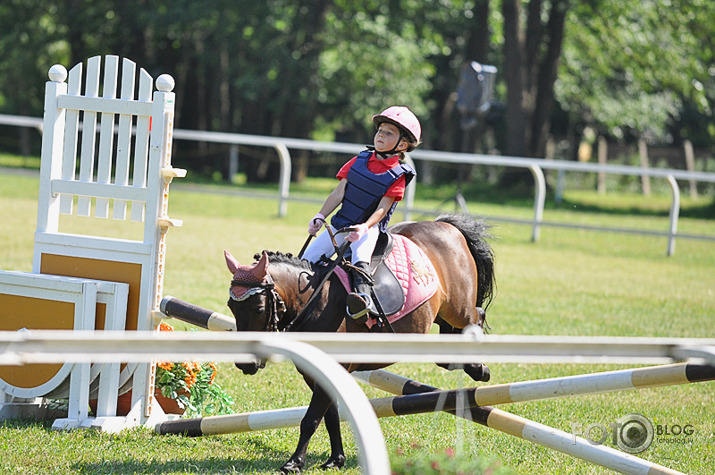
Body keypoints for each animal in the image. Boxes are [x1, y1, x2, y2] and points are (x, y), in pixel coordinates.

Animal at [227, 215, 496, 472]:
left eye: (259, 308)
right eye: (231, 307)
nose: (245, 364)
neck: (313, 300)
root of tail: (446, 226)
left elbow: (311, 419)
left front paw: (294, 463)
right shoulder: (316, 373)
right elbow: (330, 416)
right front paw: (336, 459)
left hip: (458, 309)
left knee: (478, 315)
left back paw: (479, 368)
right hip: (441, 315)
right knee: (447, 349)